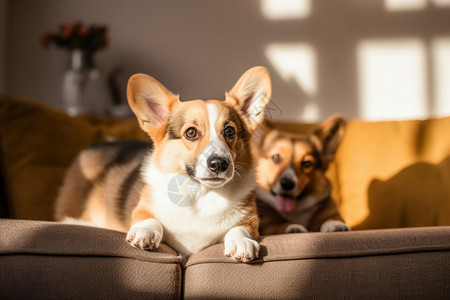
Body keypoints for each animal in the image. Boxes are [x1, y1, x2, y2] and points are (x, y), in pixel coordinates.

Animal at [53, 67, 270, 262]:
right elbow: (150, 219)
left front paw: (241, 242)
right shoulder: (142, 208)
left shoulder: (251, 221)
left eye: (229, 131)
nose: (219, 164)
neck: (199, 193)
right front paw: (145, 232)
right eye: (191, 132)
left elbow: (239, 229)